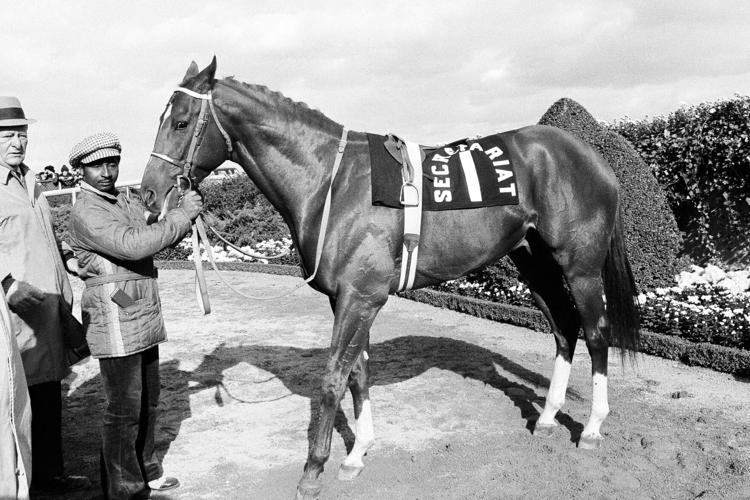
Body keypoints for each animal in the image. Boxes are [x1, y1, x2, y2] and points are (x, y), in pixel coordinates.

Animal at [140, 58, 640, 500]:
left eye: (181, 122)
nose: (146, 193)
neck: (331, 182)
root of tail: (592, 156)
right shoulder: (346, 298)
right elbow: (357, 372)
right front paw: (356, 454)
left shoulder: (359, 298)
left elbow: (332, 378)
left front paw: (313, 472)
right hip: (533, 263)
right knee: (564, 328)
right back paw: (548, 417)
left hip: (579, 267)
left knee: (596, 332)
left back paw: (592, 427)